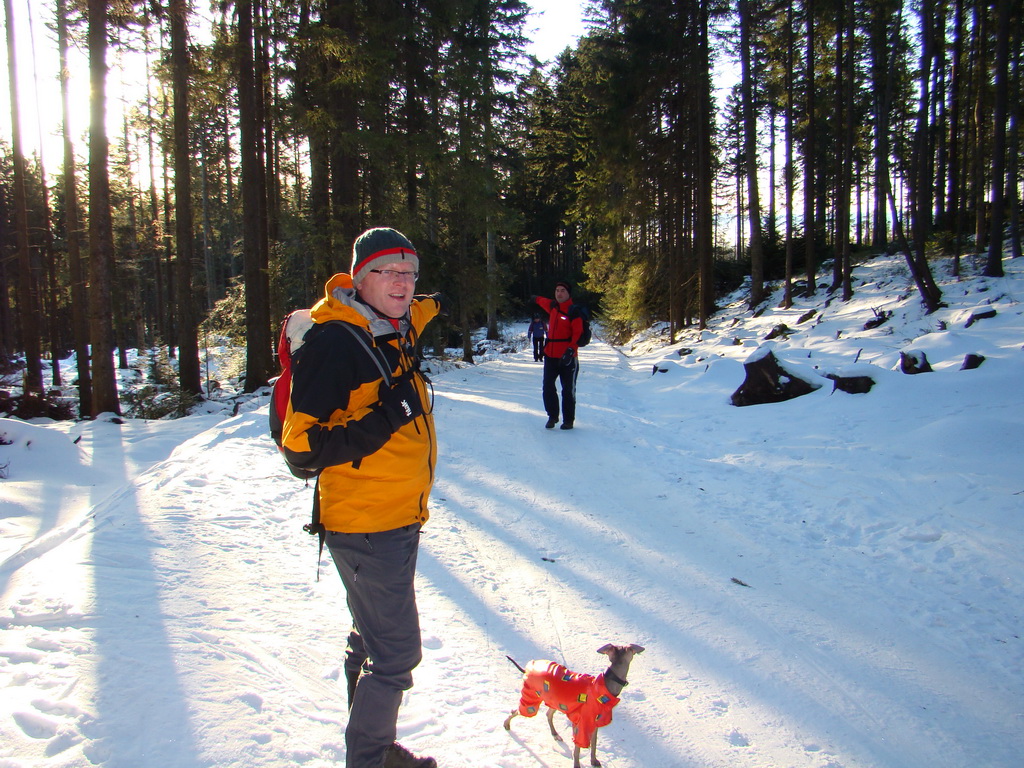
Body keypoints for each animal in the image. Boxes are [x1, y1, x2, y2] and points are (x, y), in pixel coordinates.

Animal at [501, 643, 638, 768]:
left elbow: (594, 745)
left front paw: (594, 761)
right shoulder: (581, 724)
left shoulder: (595, 723)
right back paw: (506, 724)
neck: (605, 685)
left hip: (554, 701)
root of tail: (528, 668)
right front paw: (577, 764)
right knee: (516, 711)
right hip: (531, 699)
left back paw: (555, 734)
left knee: (548, 714)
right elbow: (577, 750)